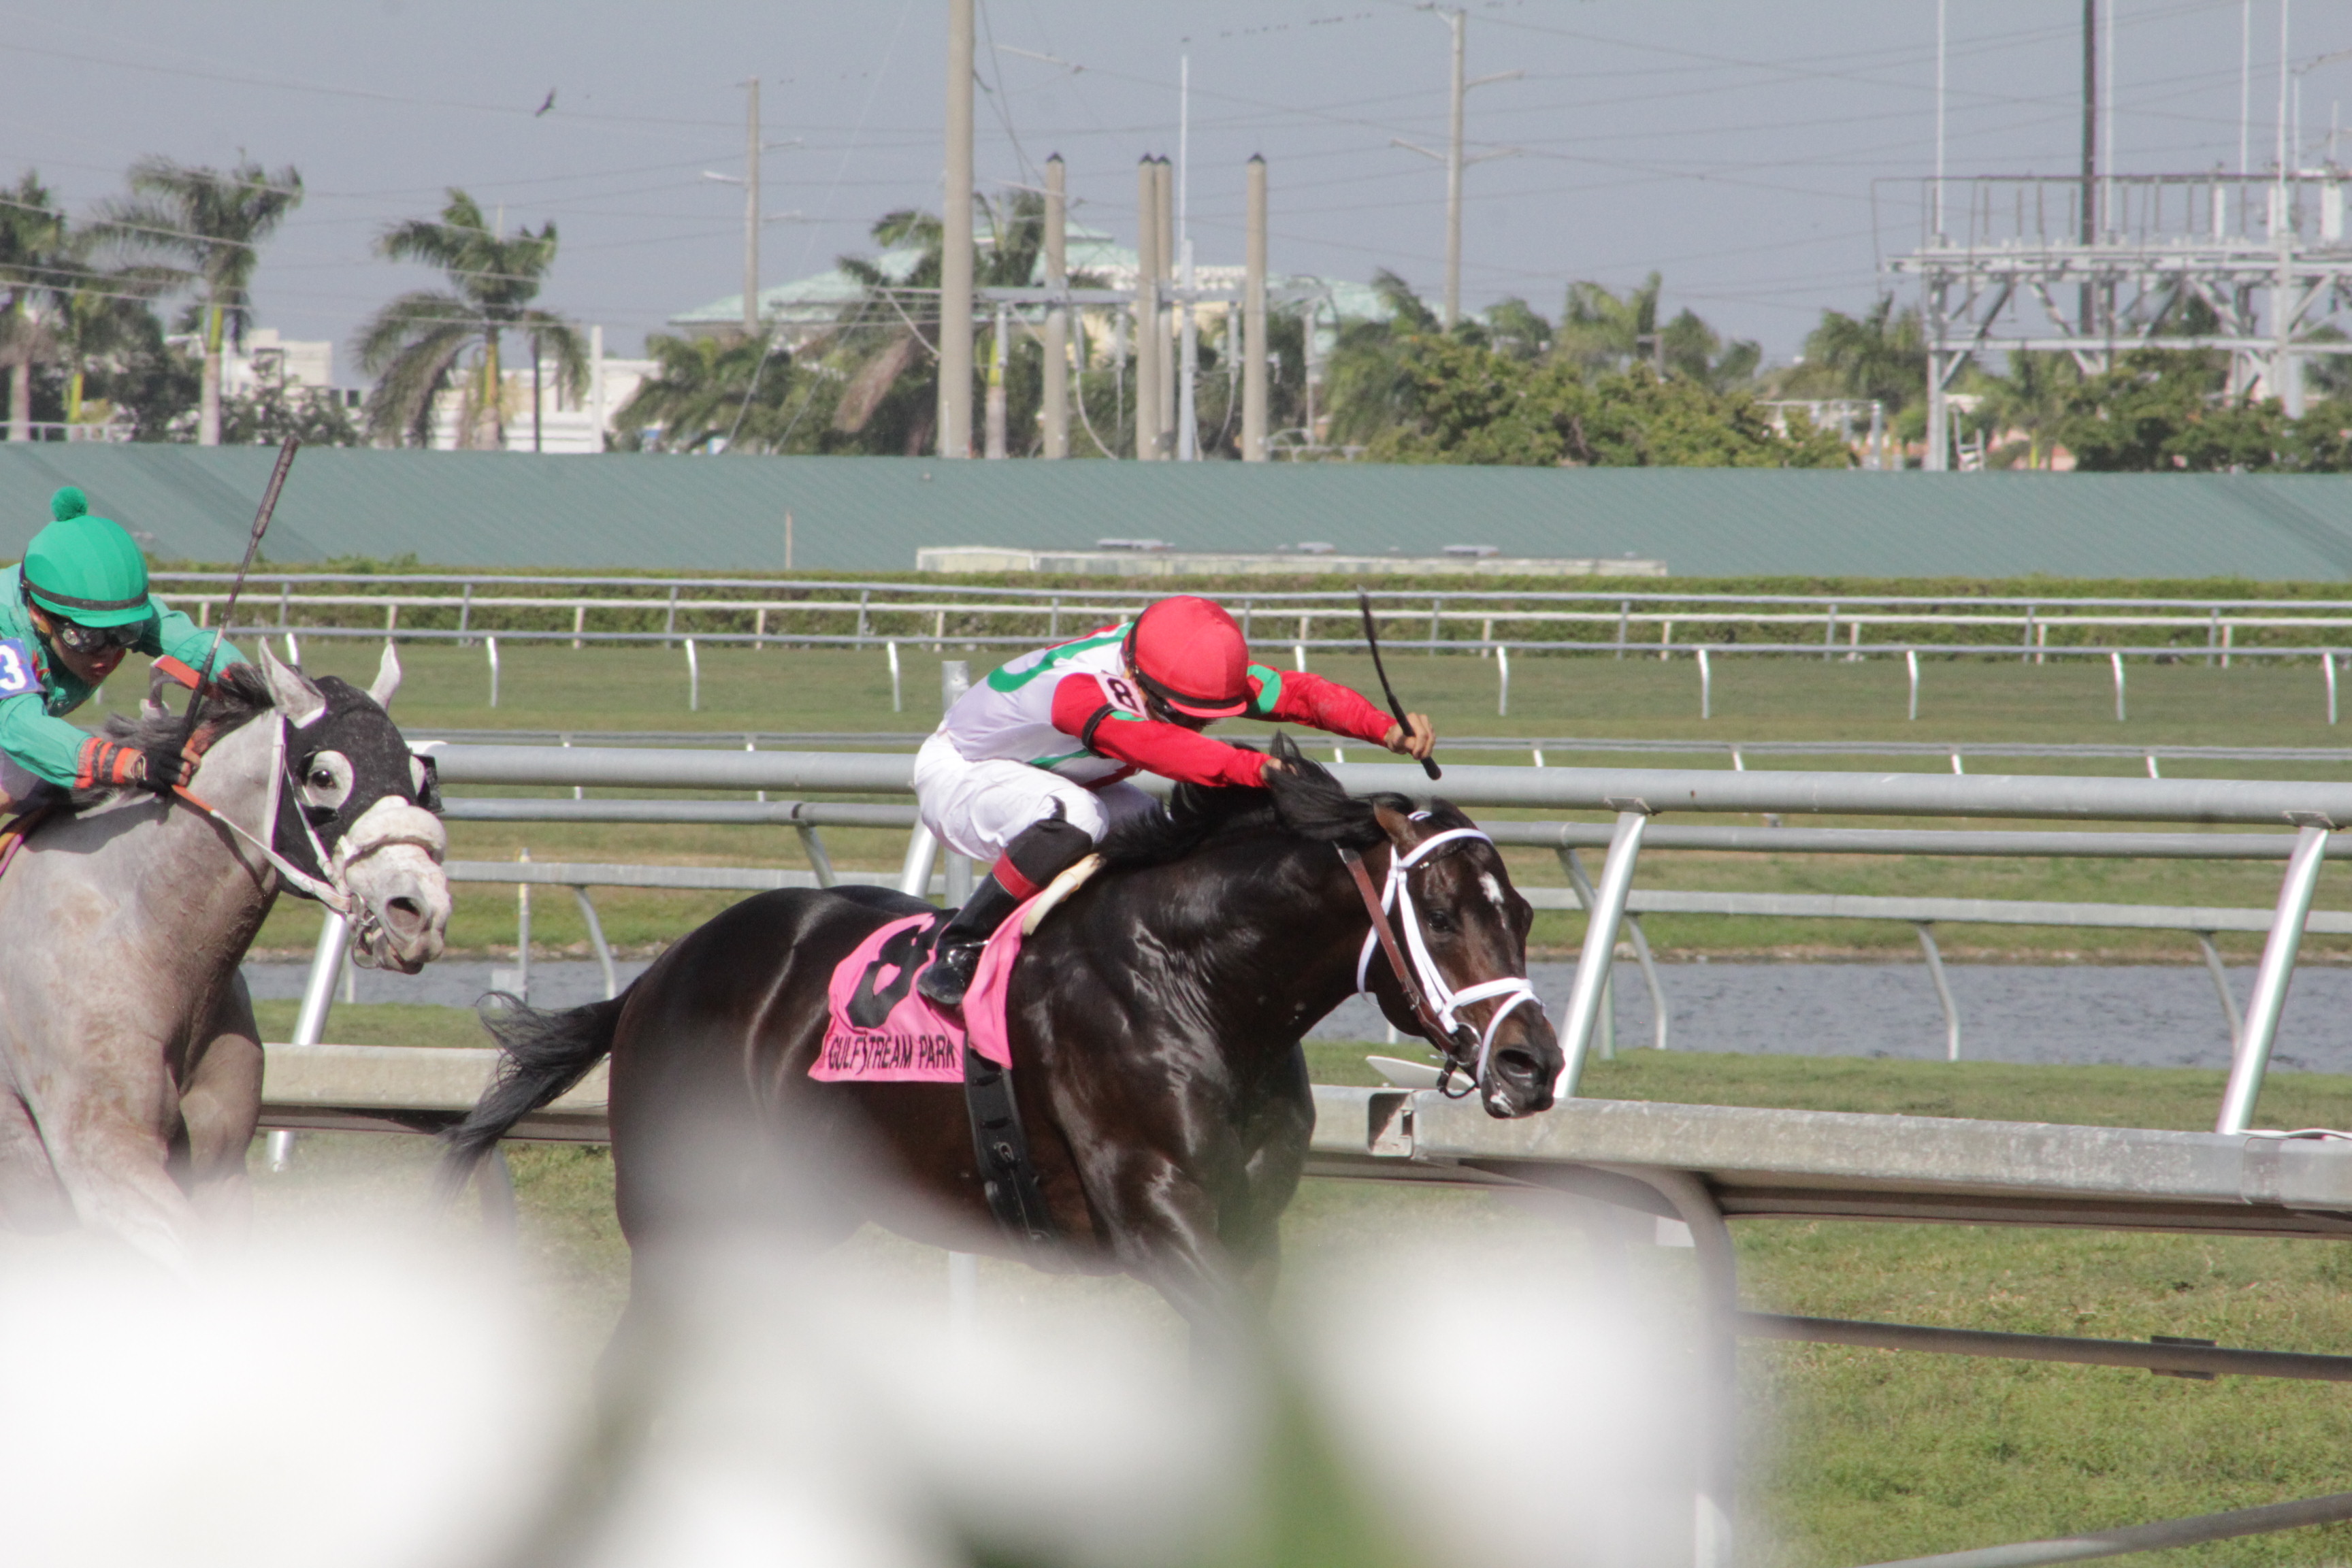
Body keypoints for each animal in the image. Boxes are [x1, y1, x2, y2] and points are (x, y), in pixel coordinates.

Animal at [440, 737, 1560, 1329]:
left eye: (1522, 912)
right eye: (1444, 913)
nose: (1533, 1062)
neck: (1197, 987)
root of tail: (657, 977)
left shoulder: (1249, 1231)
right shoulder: (1162, 1217)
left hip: (788, 1218)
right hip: (680, 1225)